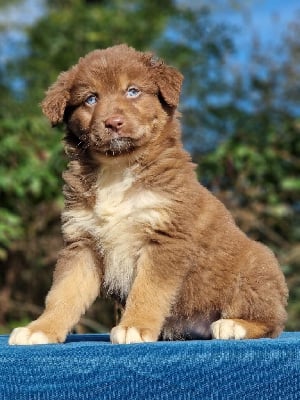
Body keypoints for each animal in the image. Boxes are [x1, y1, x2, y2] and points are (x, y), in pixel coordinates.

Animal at [8, 43, 288, 344]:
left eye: (133, 91)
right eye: (91, 99)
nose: (113, 123)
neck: (118, 168)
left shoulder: (164, 238)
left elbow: (148, 291)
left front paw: (135, 327)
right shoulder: (82, 242)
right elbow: (63, 293)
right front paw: (40, 329)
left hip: (255, 269)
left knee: (272, 322)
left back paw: (234, 325)